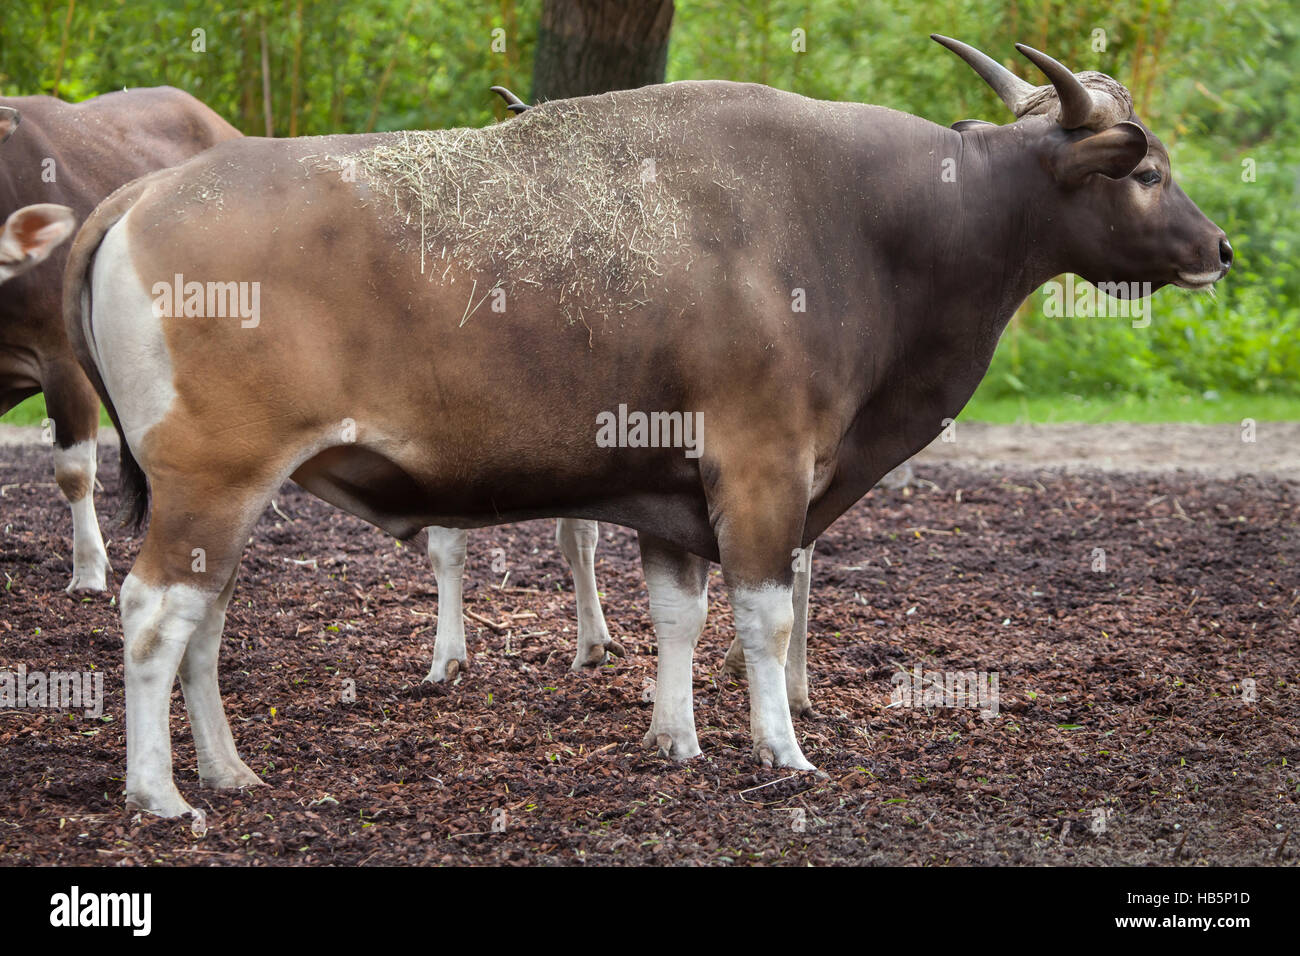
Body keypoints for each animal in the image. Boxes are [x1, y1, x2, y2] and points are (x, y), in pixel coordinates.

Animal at [68, 35, 1227, 816]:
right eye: (1149, 172)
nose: (1218, 249)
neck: (868, 220)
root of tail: (141, 196)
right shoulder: (760, 466)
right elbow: (763, 618)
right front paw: (781, 748)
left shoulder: (670, 490)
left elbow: (678, 614)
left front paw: (675, 736)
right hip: (211, 479)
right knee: (151, 614)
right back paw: (159, 793)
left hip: (227, 494)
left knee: (206, 618)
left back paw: (227, 768)